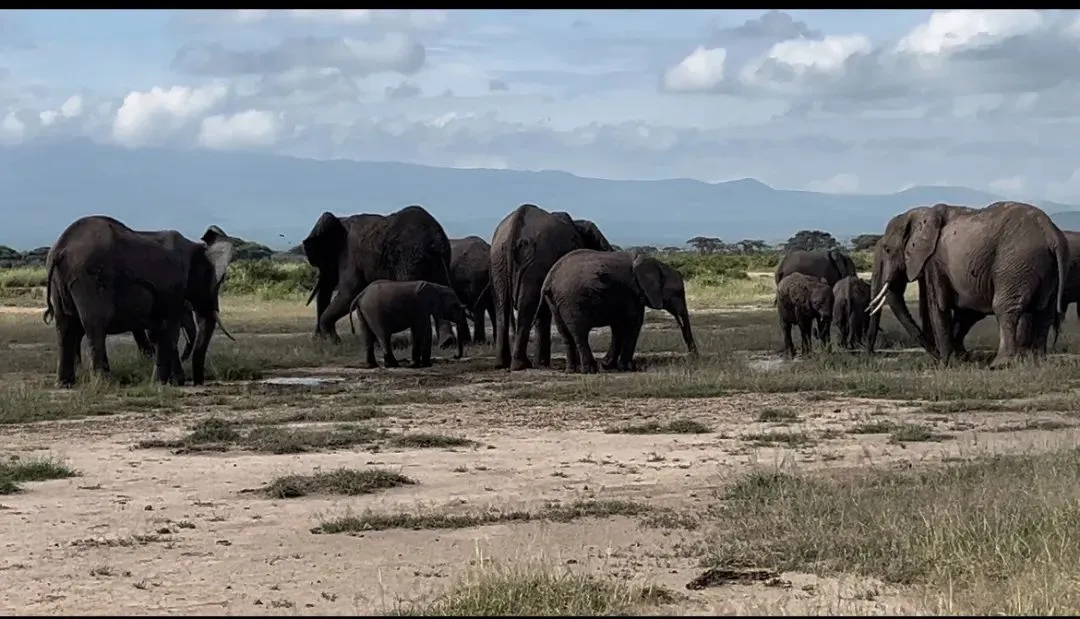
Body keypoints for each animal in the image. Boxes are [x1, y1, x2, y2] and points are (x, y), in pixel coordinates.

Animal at [44, 213, 236, 386]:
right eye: (219, 281)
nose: (198, 383)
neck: (195, 246)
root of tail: (60, 249)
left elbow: (159, 329)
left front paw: (168, 382)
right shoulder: (173, 285)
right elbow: (169, 328)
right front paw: (163, 383)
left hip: (60, 280)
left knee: (65, 325)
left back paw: (65, 384)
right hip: (88, 278)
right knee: (95, 324)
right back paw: (105, 384)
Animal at [298, 205, 466, 347]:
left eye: (322, 261)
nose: (316, 339)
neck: (340, 221)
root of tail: (436, 242)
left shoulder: (352, 256)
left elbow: (350, 293)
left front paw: (334, 341)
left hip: (410, 258)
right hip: (439, 262)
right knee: (444, 289)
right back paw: (448, 343)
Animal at [488, 203, 613, 369]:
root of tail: (514, 228)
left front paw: (541, 363)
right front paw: (542, 364)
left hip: (499, 260)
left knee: (502, 306)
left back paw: (502, 364)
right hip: (535, 261)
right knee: (526, 308)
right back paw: (521, 365)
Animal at [540, 248, 699, 373]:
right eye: (678, 293)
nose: (694, 358)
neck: (656, 264)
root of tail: (549, 279)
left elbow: (618, 327)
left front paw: (608, 365)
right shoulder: (632, 292)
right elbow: (634, 323)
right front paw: (627, 368)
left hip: (555, 302)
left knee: (565, 334)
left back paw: (571, 370)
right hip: (572, 300)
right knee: (580, 333)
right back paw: (590, 370)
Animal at [864, 202, 1067, 367]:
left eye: (887, 250)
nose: (935, 355)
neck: (921, 213)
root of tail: (1051, 232)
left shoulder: (935, 261)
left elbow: (938, 305)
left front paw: (948, 362)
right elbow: (964, 312)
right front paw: (960, 357)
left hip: (1016, 261)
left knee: (1004, 307)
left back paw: (1000, 364)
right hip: (1046, 268)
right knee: (1045, 310)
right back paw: (1037, 361)